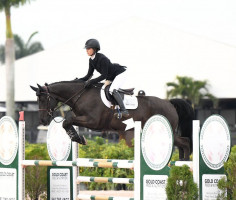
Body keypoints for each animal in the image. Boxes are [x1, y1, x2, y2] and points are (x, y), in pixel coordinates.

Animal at [30, 80, 195, 160]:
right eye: (37, 100)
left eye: (43, 99)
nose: (43, 120)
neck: (81, 95)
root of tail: (169, 103)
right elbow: (67, 122)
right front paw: (77, 137)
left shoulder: (93, 122)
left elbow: (67, 121)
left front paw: (78, 138)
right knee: (182, 143)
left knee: (185, 142)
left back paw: (185, 165)